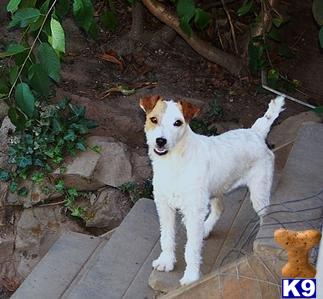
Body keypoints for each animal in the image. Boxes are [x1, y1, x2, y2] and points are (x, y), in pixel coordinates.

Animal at [139, 95, 284, 286]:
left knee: (264, 215)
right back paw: (206, 228)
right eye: (153, 119)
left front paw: (191, 277)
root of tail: (256, 133)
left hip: (259, 194)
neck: (174, 162)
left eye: (178, 123)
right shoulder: (164, 207)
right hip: (216, 189)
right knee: (220, 208)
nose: (160, 141)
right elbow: (167, 238)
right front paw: (166, 261)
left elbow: (191, 249)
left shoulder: (194, 210)